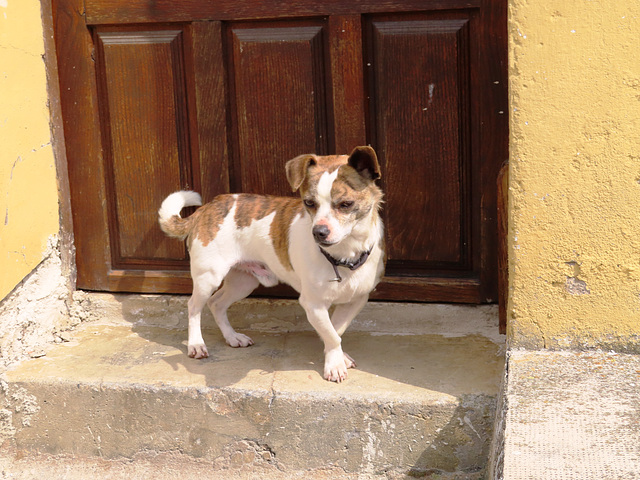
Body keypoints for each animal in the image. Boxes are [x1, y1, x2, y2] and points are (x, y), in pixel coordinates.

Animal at [159, 146, 384, 382]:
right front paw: (335, 364)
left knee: (216, 303)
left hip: (243, 282)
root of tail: (206, 208)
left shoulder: (356, 300)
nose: (318, 232)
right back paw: (196, 344)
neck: (344, 254)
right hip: (208, 277)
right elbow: (331, 335)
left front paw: (338, 357)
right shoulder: (312, 303)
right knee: (194, 307)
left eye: (346, 204)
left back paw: (232, 337)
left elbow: (335, 330)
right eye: (309, 203)